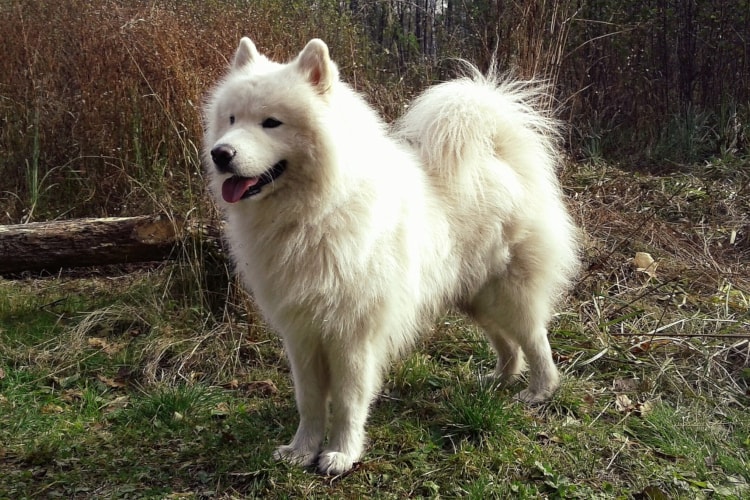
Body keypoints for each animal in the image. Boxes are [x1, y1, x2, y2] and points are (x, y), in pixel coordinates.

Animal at [203, 37, 580, 474]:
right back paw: (499, 380)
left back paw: (539, 392)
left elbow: (348, 401)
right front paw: (301, 450)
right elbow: (310, 402)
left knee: (536, 341)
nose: (220, 154)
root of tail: (501, 158)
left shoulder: (352, 335)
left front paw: (341, 454)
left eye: (271, 123)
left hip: (509, 294)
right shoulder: (302, 333)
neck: (317, 211)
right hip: (475, 297)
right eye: (231, 119)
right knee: (509, 345)